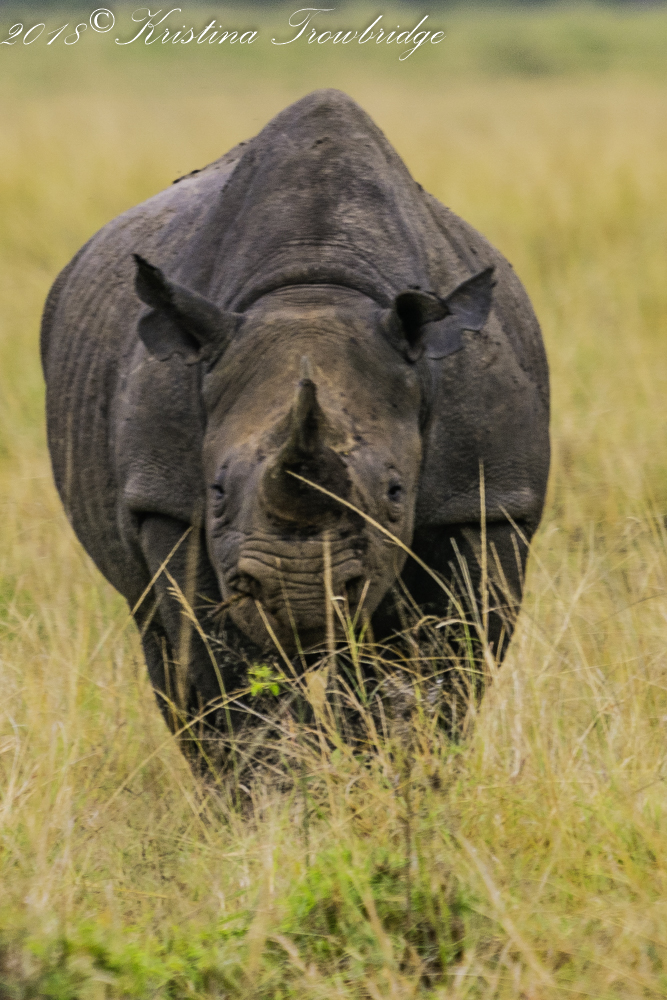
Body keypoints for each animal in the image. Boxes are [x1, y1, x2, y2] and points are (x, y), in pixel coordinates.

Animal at [41, 90, 549, 744]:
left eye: (396, 491)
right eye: (216, 490)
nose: (301, 596)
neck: (314, 290)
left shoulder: (484, 500)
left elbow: (431, 670)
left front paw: (388, 769)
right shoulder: (167, 501)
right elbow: (222, 675)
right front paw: (285, 773)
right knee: (160, 642)